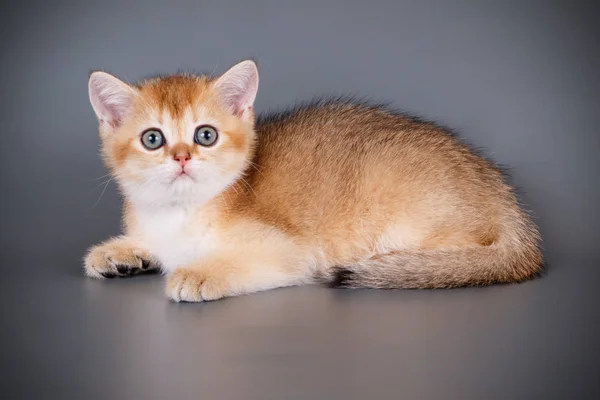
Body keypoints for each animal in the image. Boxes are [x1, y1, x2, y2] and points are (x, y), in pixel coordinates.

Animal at [84, 59, 544, 302]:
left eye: (205, 135)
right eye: (152, 139)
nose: (181, 157)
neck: (178, 213)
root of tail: (511, 209)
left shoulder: (288, 252)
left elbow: (239, 261)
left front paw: (198, 274)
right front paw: (118, 253)